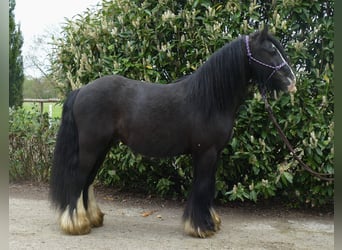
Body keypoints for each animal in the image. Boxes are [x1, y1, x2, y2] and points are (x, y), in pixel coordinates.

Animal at [49, 27, 296, 238]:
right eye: (271, 51)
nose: (292, 81)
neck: (209, 99)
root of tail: (81, 90)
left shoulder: (213, 154)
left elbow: (209, 187)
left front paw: (211, 222)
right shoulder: (205, 153)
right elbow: (202, 186)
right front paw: (201, 227)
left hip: (102, 147)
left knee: (87, 181)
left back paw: (91, 219)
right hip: (91, 147)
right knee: (78, 179)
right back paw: (77, 225)